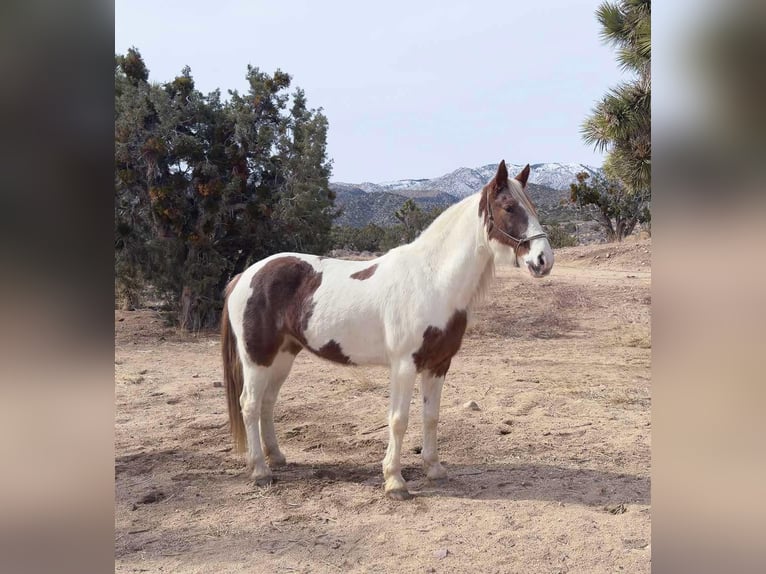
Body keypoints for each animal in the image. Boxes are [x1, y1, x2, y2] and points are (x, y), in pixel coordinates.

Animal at [220, 160, 552, 502]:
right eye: (509, 207)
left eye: (532, 206)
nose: (543, 260)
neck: (432, 280)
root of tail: (244, 276)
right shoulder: (404, 365)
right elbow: (399, 420)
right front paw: (395, 481)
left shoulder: (439, 364)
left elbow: (431, 417)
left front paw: (434, 469)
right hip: (257, 357)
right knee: (250, 404)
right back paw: (260, 471)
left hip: (283, 355)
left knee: (268, 401)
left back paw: (276, 457)